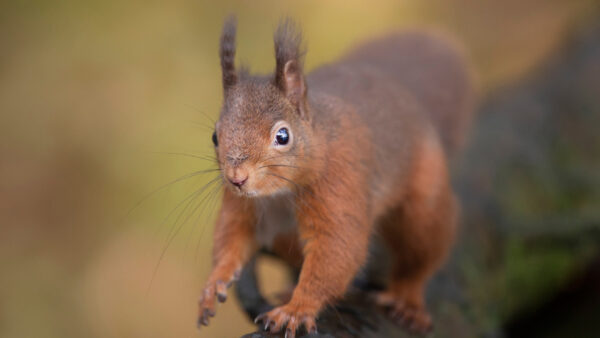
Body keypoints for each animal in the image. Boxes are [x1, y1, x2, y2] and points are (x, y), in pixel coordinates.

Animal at [199, 16, 476, 338]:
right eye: (215, 136)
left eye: (283, 136)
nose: (237, 178)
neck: (279, 194)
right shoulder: (242, 206)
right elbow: (231, 239)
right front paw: (214, 284)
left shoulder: (338, 182)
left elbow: (337, 249)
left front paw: (296, 310)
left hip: (423, 205)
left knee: (421, 251)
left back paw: (407, 299)